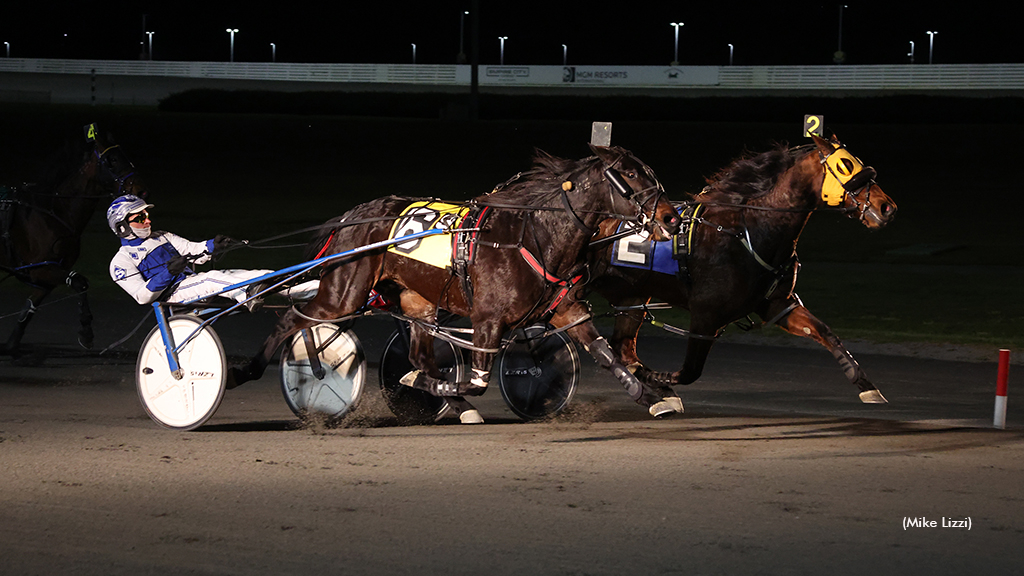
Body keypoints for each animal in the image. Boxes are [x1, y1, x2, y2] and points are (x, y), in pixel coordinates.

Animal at [0, 123, 146, 352]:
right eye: (112, 160)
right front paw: (86, 332)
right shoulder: (40, 268)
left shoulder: (48, 272)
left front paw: (12, 343)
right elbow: (80, 282)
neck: (54, 213)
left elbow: (30, 306)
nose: (140, 189)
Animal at [228, 144, 684, 416]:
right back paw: (245, 370)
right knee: (292, 318)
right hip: (344, 292)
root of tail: (353, 215)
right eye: (631, 176)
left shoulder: (565, 309)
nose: (670, 217)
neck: (534, 236)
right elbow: (480, 379)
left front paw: (652, 396)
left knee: (418, 354)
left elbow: (606, 355)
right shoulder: (488, 320)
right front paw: (448, 389)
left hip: (416, 300)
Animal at [593, 133, 897, 405]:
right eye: (845, 167)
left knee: (622, 345)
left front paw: (867, 386)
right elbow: (690, 371)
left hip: (632, 297)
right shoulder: (706, 314)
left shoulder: (776, 304)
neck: (751, 230)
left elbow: (824, 332)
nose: (887, 208)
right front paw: (657, 381)